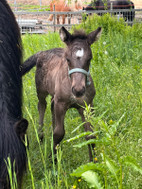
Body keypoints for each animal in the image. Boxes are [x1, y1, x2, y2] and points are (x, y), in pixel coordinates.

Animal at [21, 25, 101, 160]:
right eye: (67, 59)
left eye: (89, 59)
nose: (78, 90)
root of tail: (42, 52)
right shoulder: (61, 104)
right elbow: (59, 132)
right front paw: (53, 158)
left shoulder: (87, 105)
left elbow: (90, 135)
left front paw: (94, 161)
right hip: (41, 91)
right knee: (42, 105)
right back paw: (41, 137)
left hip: (55, 95)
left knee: (51, 106)